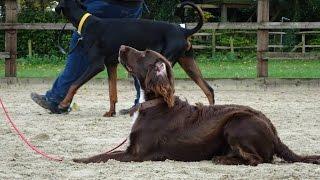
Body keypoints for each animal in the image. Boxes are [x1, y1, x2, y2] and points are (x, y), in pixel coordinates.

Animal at [73, 45, 320, 165]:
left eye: (143, 54)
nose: (122, 46)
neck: (155, 102)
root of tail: (274, 133)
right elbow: (103, 154)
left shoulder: (136, 154)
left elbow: (102, 157)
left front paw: (80, 159)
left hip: (237, 123)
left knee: (257, 160)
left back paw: (222, 160)